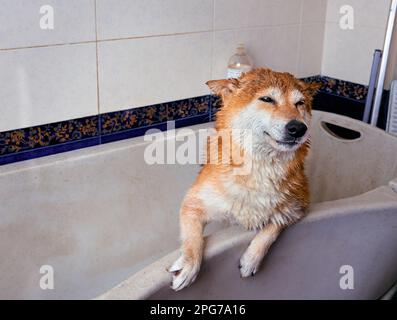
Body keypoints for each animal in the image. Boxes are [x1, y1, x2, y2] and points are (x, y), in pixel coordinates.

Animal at [167, 69, 318, 292]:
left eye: (300, 103)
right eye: (267, 99)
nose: (298, 128)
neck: (260, 170)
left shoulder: (298, 206)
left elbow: (273, 226)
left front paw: (251, 260)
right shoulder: (193, 202)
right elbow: (193, 239)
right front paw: (188, 266)